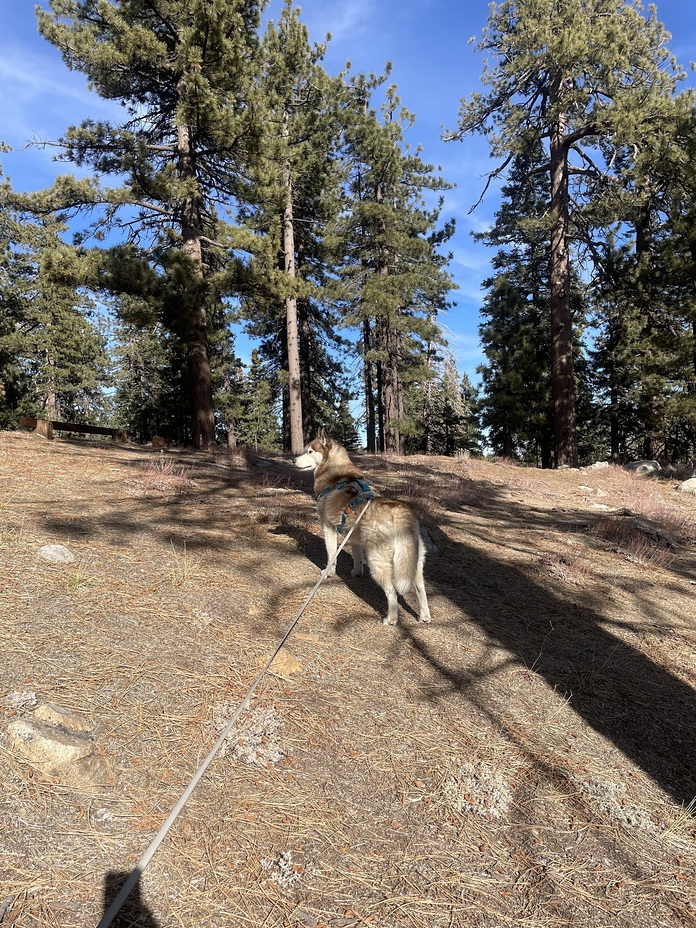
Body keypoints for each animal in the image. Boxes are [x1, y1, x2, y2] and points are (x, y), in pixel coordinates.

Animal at [294, 432, 430, 628]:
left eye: (310, 451)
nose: (293, 460)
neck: (335, 474)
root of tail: (400, 511)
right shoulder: (354, 535)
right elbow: (357, 555)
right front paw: (356, 572)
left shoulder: (328, 527)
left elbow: (331, 554)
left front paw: (328, 572)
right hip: (414, 561)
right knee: (420, 588)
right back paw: (424, 615)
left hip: (378, 562)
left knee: (392, 592)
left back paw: (391, 619)